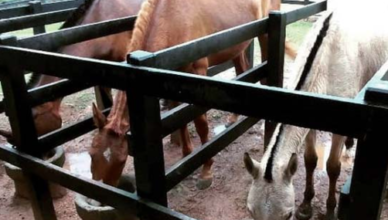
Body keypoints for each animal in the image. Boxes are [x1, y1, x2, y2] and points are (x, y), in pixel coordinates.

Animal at [91, 0, 298, 189]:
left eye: (120, 159)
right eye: (92, 154)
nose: (101, 193)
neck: (171, 18)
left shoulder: (198, 73)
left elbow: (200, 123)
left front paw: (206, 170)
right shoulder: (170, 78)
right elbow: (180, 119)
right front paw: (186, 154)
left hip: (264, 34)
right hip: (236, 45)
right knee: (242, 71)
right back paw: (233, 118)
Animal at [244, 0, 386, 219]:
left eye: (287, 214)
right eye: (251, 211)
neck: (326, 60)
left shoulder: (339, 129)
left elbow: (333, 167)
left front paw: (330, 210)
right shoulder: (309, 119)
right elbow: (310, 160)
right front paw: (306, 204)